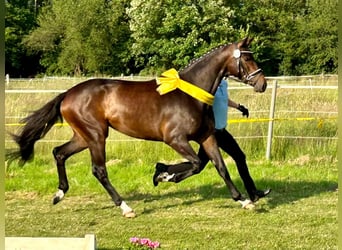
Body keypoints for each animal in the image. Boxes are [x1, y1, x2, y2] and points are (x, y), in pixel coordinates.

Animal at [12, 37, 268, 217]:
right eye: (247, 59)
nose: (262, 84)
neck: (190, 94)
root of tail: (67, 94)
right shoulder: (175, 139)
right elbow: (196, 164)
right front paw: (164, 175)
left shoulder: (207, 137)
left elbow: (219, 166)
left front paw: (244, 200)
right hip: (96, 136)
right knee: (99, 170)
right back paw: (125, 207)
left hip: (83, 136)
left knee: (59, 153)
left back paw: (59, 193)